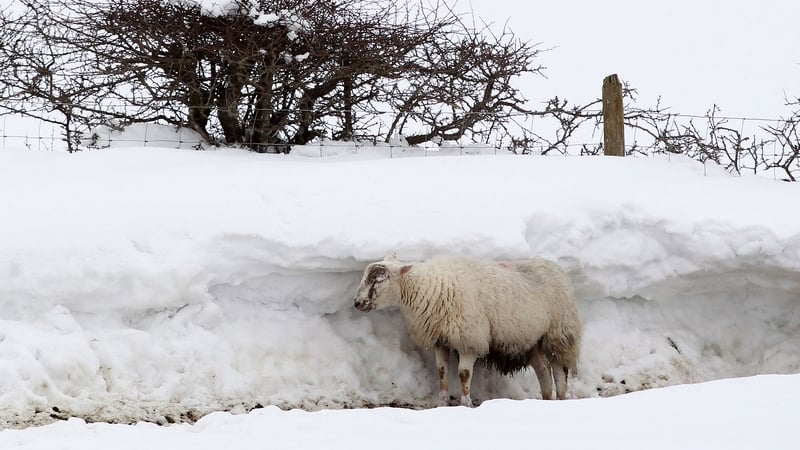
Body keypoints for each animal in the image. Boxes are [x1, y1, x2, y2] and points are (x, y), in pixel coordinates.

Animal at [353, 253, 581, 407]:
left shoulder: (469, 340)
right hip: (532, 339)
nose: (357, 303)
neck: (432, 288)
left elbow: (463, 374)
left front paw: (466, 402)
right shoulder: (441, 340)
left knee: (559, 372)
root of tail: (557, 268)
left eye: (379, 279)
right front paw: (442, 401)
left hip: (558, 335)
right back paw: (546, 400)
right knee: (543, 370)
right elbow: (442, 371)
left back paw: (560, 399)